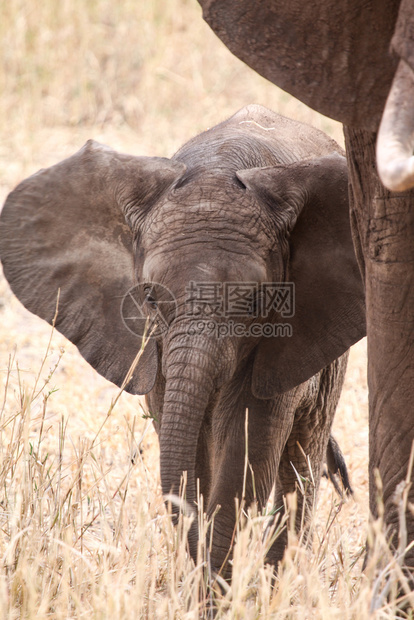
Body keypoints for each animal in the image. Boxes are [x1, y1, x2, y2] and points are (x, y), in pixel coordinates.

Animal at [0, 105, 362, 572]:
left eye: (256, 301)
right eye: (150, 297)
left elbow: (246, 448)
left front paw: (219, 583)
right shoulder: (154, 349)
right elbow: (189, 449)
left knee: (300, 461)